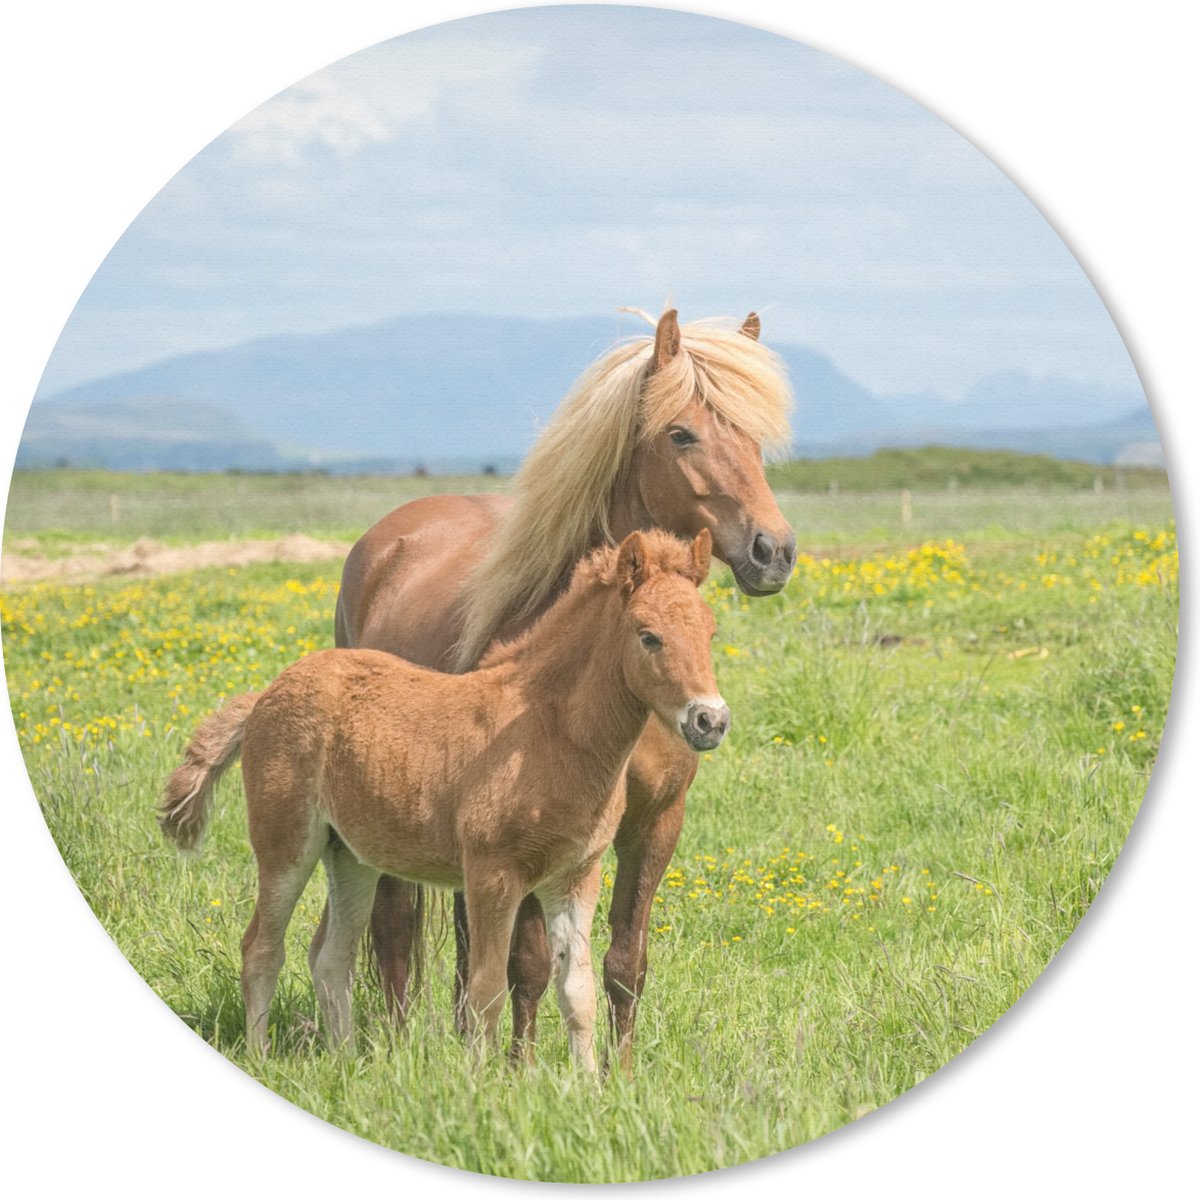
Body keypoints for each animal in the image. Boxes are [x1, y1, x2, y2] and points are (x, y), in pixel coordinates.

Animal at [159, 530, 727, 1069]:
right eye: (648, 636)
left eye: (711, 632)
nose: (710, 720)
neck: (548, 731)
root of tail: (266, 694)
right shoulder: (492, 874)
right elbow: (486, 989)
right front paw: (481, 1083)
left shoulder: (575, 876)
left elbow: (577, 992)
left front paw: (587, 1086)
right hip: (286, 844)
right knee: (262, 947)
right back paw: (260, 1056)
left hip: (351, 856)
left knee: (331, 955)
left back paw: (347, 1063)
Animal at [331, 307, 796, 1072]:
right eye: (682, 433)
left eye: (755, 437)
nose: (774, 552)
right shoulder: (532, 834)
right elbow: (526, 965)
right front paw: (520, 1072)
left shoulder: (655, 824)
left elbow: (624, 963)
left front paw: (622, 1073)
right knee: (396, 929)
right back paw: (400, 1049)